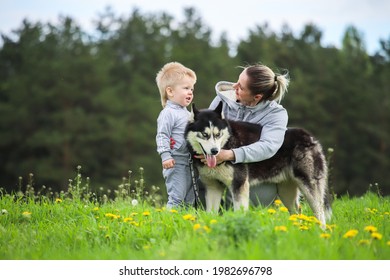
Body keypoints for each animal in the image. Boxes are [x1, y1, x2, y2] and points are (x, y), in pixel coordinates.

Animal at [186, 101, 332, 226]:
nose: (215, 151)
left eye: (218, 134)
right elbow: (211, 214)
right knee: (296, 212)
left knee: (320, 213)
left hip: (309, 187)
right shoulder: (213, 187)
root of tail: (309, 137)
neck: (227, 142)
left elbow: (239, 211)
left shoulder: (239, 184)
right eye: (204, 134)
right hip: (286, 191)